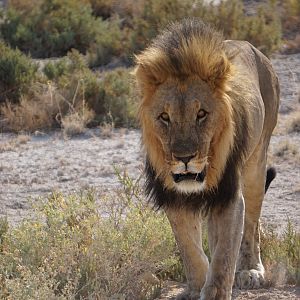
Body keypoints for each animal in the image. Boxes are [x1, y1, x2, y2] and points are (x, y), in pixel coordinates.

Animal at [134, 19, 278, 300]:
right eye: (164, 117)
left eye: (201, 114)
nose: (184, 158)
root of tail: (253, 47)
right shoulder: (174, 197)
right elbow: (190, 249)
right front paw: (196, 287)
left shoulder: (230, 194)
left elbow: (224, 256)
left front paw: (215, 291)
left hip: (256, 164)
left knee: (252, 223)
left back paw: (250, 270)